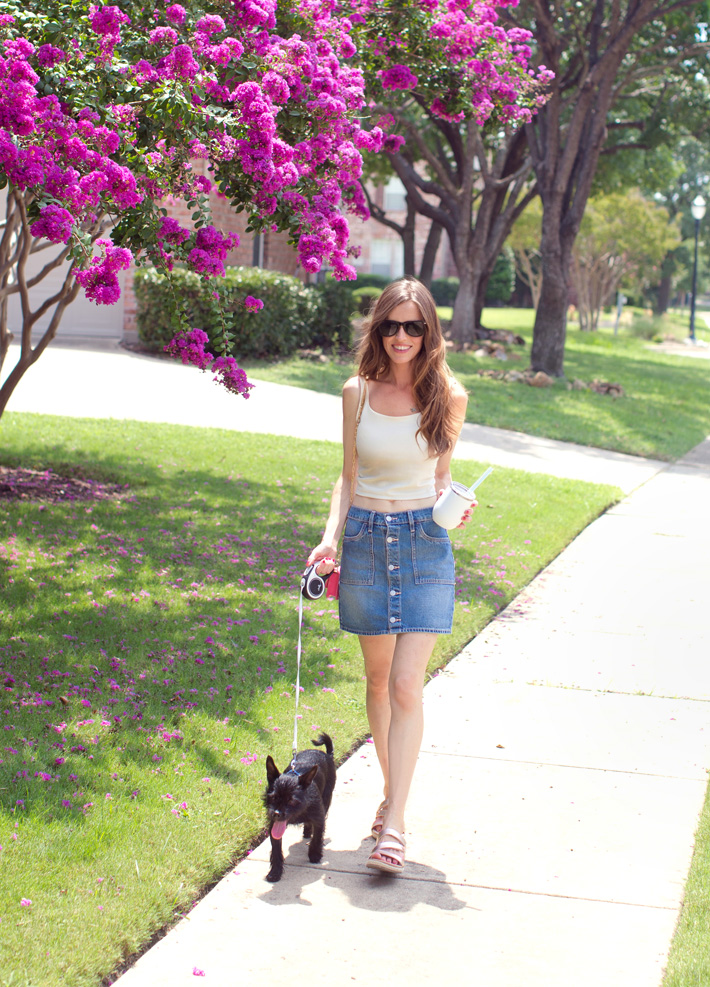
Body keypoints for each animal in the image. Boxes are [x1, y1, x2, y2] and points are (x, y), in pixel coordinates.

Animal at [264, 732, 336, 888]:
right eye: (273, 797)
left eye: (291, 800)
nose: (276, 814)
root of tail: (327, 754)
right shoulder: (274, 827)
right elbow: (276, 850)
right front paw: (275, 872)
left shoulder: (319, 817)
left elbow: (317, 836)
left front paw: (314, 854)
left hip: (327, 798)